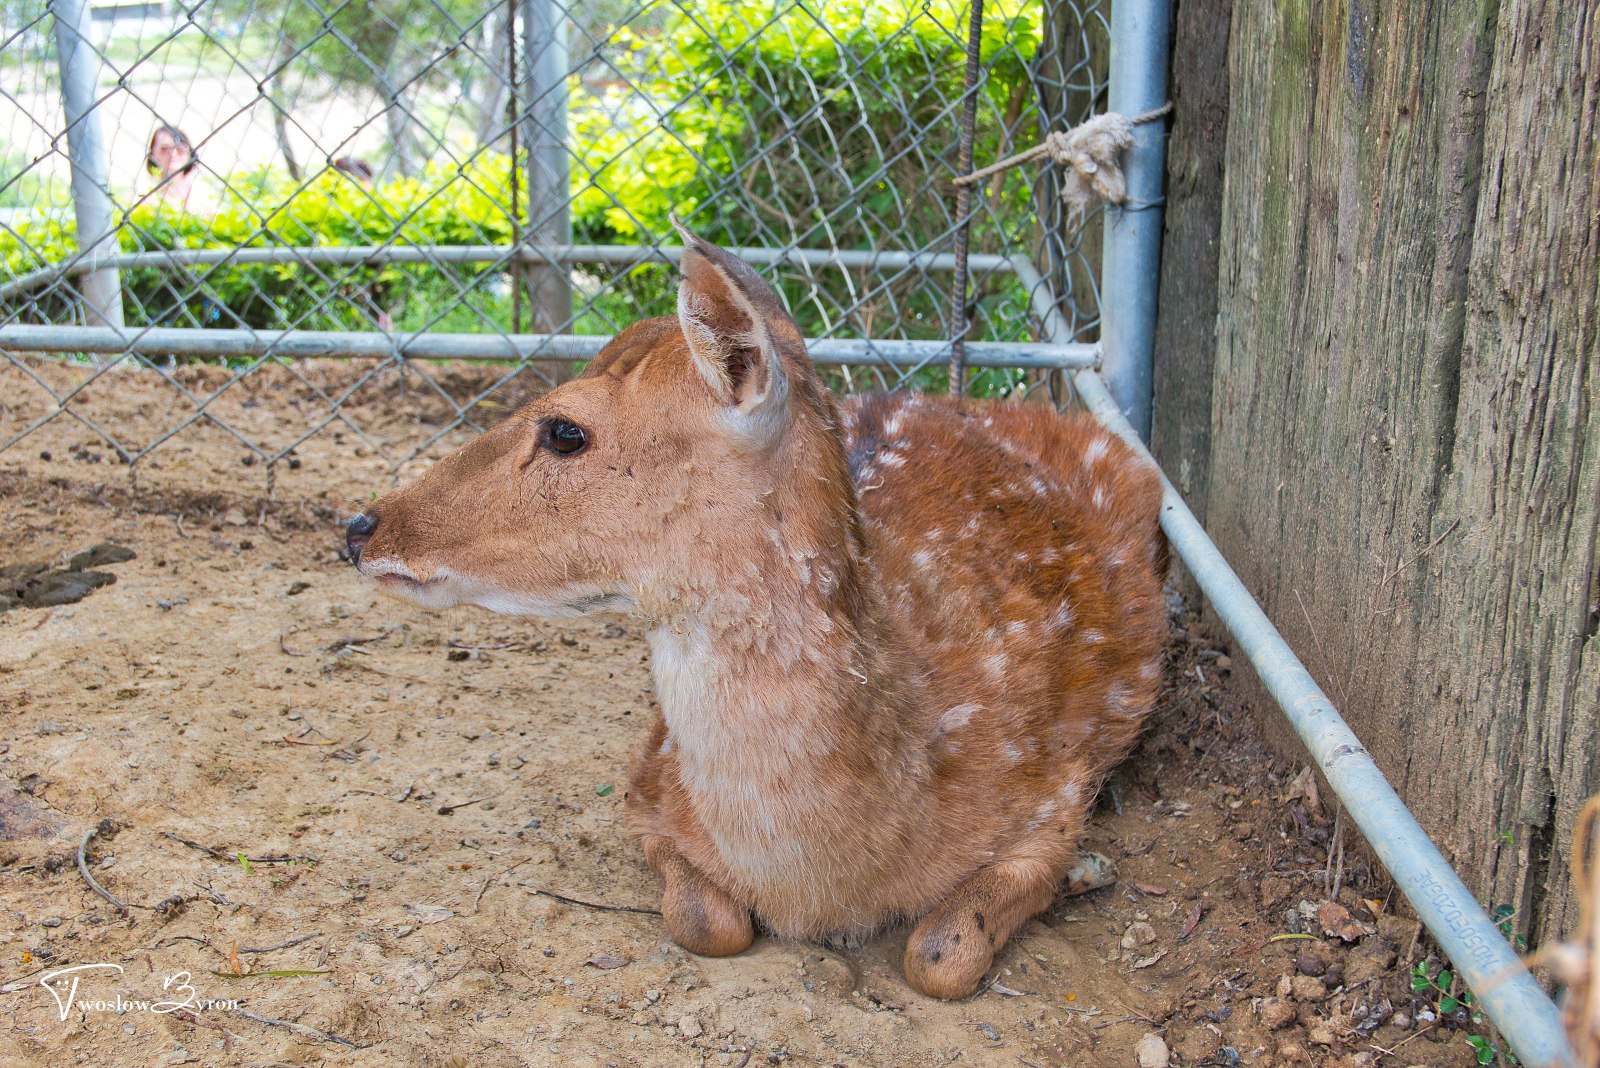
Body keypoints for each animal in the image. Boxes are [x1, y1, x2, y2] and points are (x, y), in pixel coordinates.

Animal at [344, 220, 1171, 997]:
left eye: (565, 430)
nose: (361, 526)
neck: (827, 880)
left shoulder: (1053, 792)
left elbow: (940, 952)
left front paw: (1087, 871)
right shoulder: (649, 780)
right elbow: (704, 920)